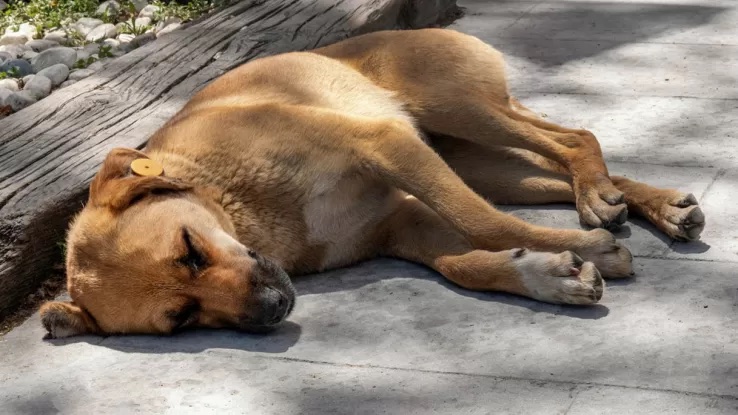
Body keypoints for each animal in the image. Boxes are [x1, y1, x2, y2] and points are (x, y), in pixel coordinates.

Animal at [38, 29, 700, 340]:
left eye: (190, 251)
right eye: (179, 317)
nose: (274, 308)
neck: (242, 206)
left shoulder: (386, 147)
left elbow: (480, 223)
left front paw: (588, 253)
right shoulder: (399, 222)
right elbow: (463, 262)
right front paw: (550, 272)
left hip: (452, 107)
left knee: (575, 138)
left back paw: (604, 202)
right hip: (480, 164)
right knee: (560, 167)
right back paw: (646, 204)